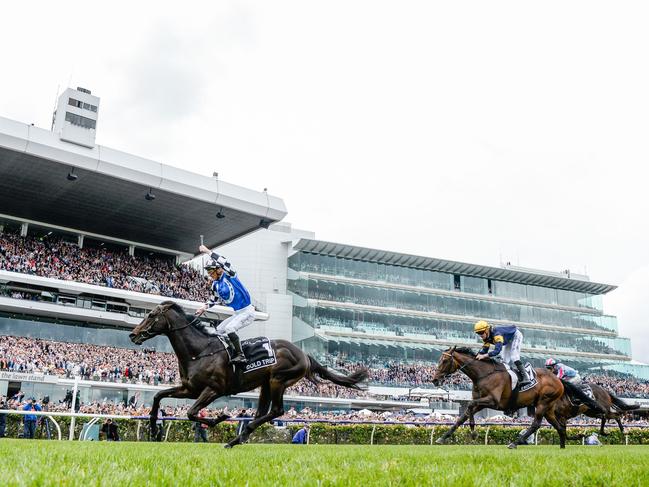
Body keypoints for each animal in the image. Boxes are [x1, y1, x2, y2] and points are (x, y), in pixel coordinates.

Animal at [129, 302, 368, 450]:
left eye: (151, 315)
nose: (132, 335)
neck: (200, 351)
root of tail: (304, 353)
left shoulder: (213, 390)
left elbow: (190, 412)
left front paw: (219, 418)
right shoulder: (190, 389)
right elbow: (159, 396)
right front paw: (153, 427)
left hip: (278, 379)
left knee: (276, 411)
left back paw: (240, 436)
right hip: (266, 384)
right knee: (263, 412)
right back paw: (238, 438)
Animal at [430, 346, 568, 450]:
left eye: (445, 361)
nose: (434, 379)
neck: (484, 374)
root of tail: (558, 380)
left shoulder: (493, 401)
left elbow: (469, 404)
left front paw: (474, 433)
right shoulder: (481, 403)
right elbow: (462, 417)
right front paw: (442, 437)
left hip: (542, 403)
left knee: (536, 424)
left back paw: (514, 443)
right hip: (548, 408)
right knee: (558, 426)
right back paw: (562, 446)